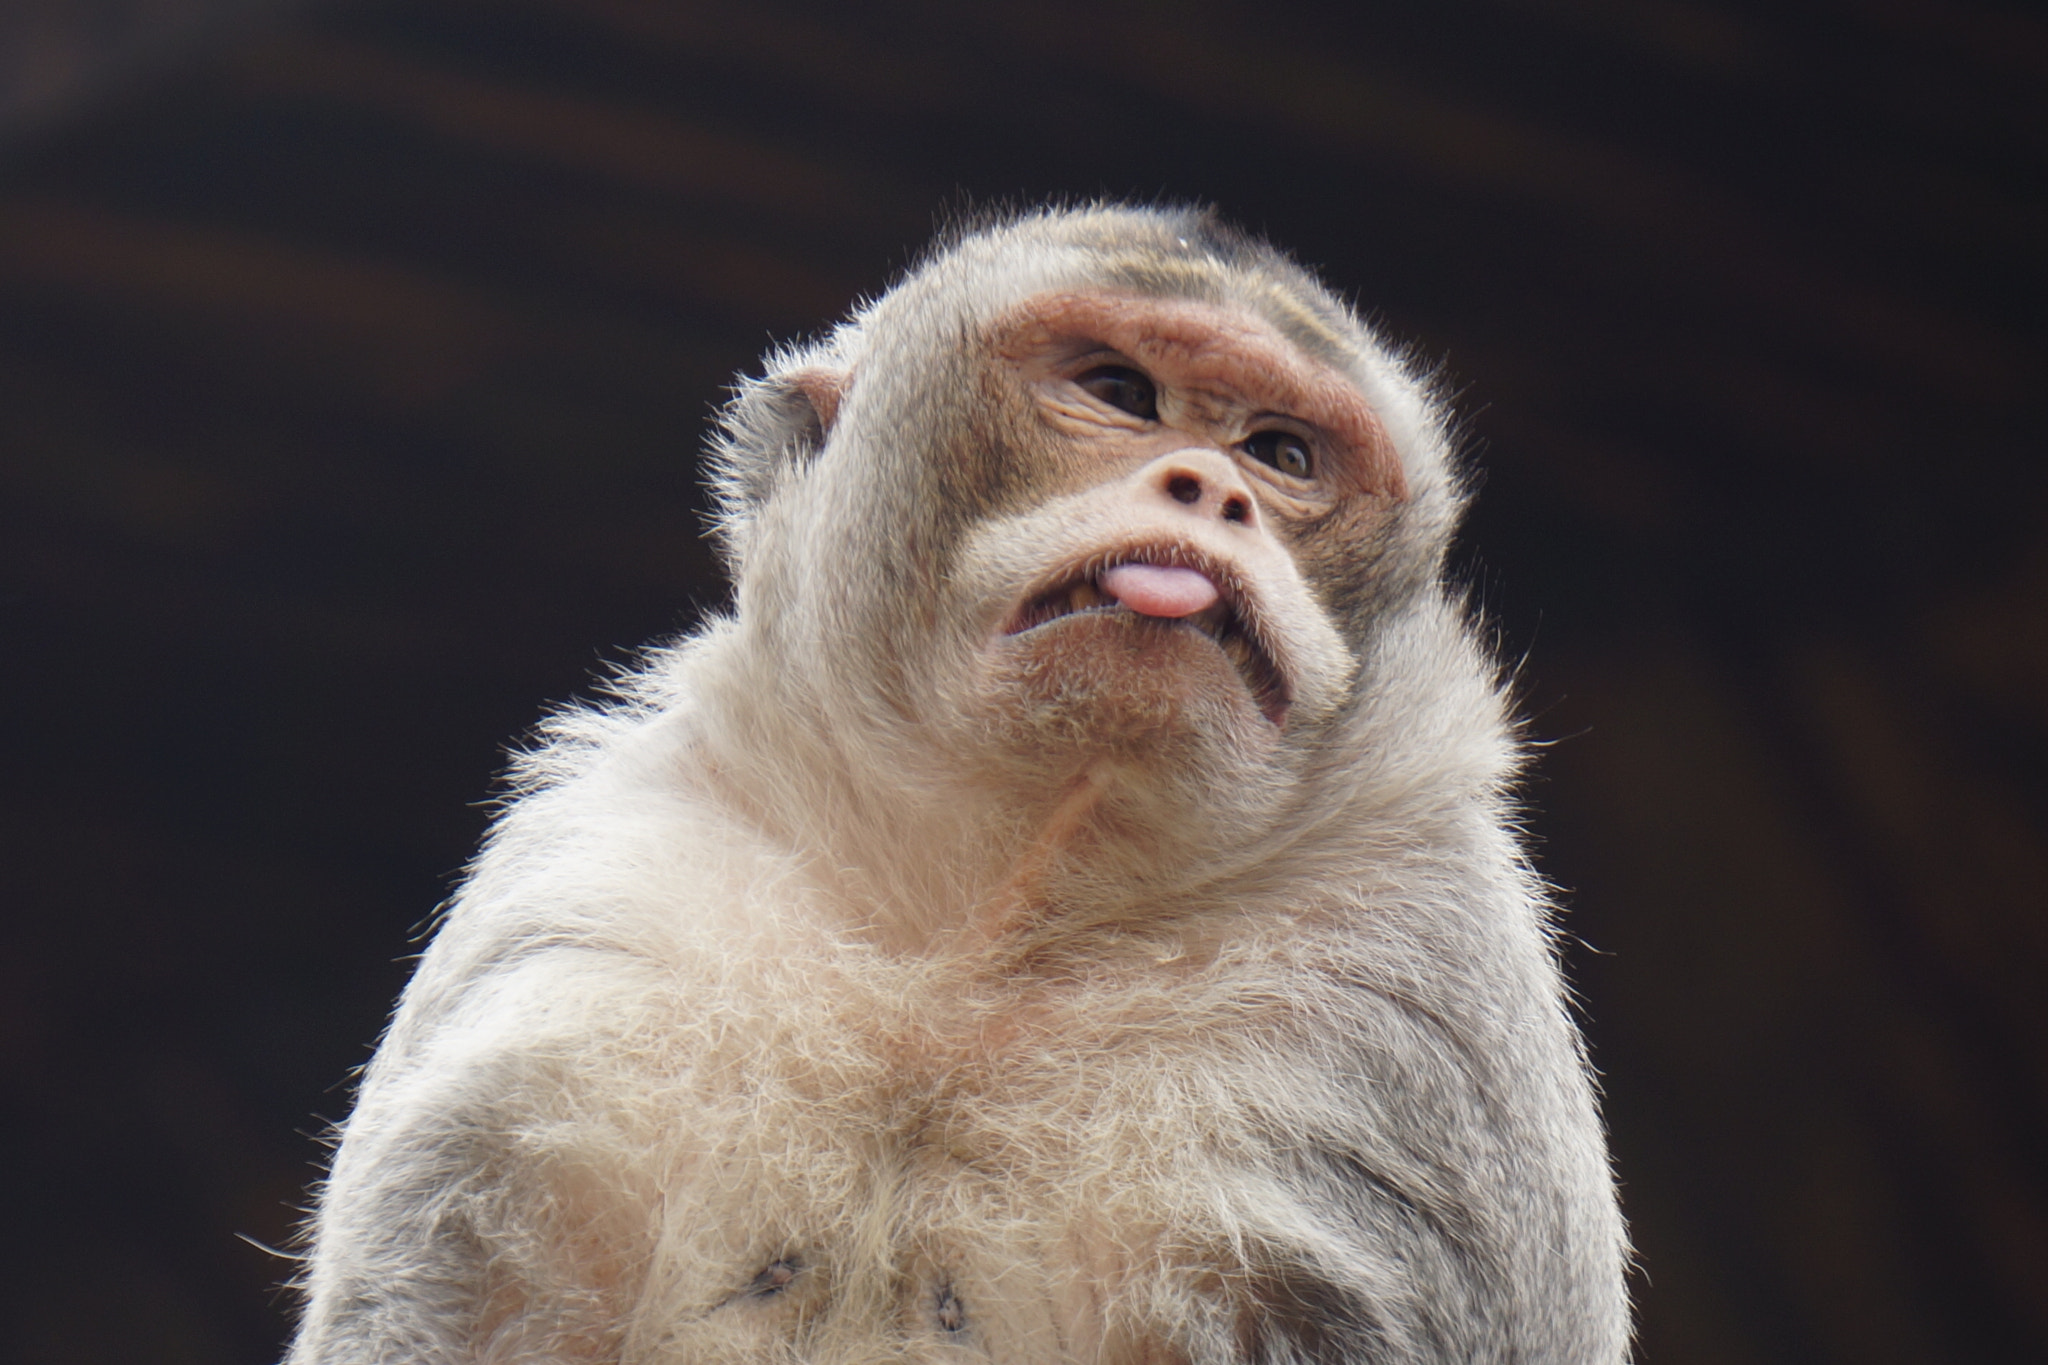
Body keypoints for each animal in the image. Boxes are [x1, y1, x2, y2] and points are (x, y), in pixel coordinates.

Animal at [285, 205, 1630, 1365]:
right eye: (1118, 393)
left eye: (1281, 454)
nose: (1214, 490)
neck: (986, 928)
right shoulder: (612, 892)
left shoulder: (1408, 1014)